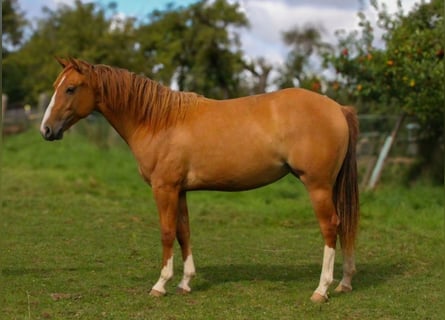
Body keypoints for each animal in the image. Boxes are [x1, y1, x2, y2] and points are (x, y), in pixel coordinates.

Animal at [39, 58, 358, 302]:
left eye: (70, 88)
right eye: (56, 86)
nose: (46, 130)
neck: (159, 121)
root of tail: (338, 109)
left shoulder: (164, 189)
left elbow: (167, 232)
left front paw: (160, 284)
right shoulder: (179, 191)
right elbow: (184, 232)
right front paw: (185, 282)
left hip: (318, 186)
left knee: (330, 228)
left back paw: (322, 289)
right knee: (344, 226)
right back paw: (344, 282)